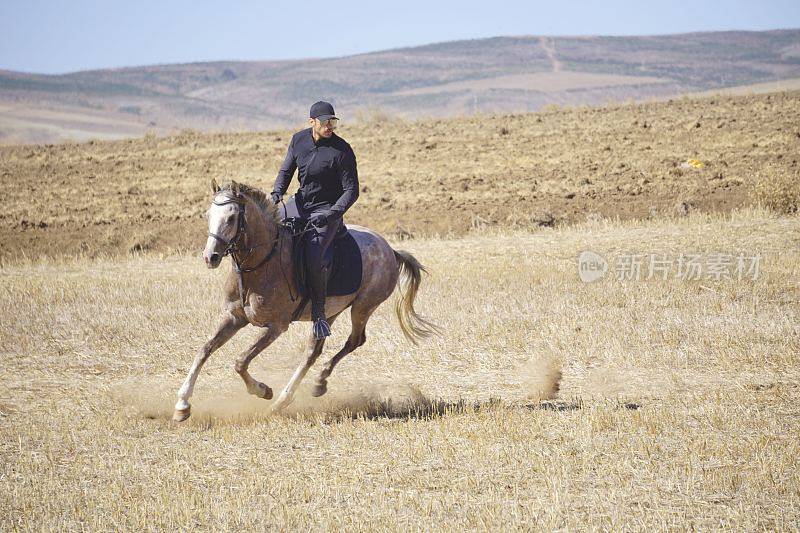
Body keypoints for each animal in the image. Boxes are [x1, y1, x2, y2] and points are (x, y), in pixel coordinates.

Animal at [172, 179, 440, 420]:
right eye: (208, 215)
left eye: (230, 218)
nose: (210, 257)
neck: (260, 265)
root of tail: (390, 250)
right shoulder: (234, 318)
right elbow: (204, 350)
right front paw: (182, 405)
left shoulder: (276, 327)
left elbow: (240, 361)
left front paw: (262, 390)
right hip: (328, 313)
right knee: (314, 351)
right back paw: (307, 389)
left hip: (363, 307)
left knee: (354, 341)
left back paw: (293, 395)